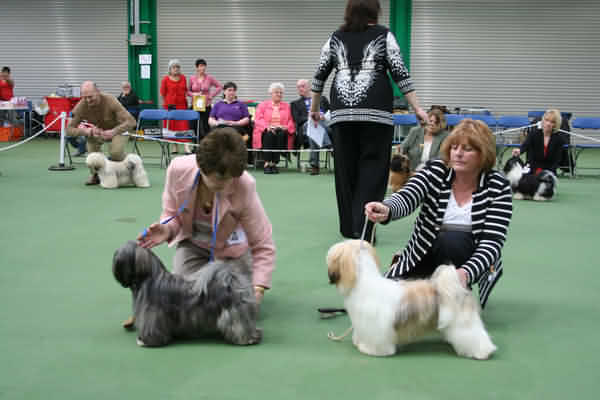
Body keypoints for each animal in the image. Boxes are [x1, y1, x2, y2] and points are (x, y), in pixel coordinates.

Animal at [112, 240, 262, 347]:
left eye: (120, 256)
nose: (114, 259)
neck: (149, 279)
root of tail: (231, 279)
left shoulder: (152, 315)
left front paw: (147, 341)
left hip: (232, 314)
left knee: (239, 326)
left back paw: (247, 339)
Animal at [326, 240, 496, 359]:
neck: (364, 282)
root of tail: (458, 288)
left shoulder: (376, 327)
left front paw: (372, 350)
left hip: (463, 323)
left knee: (475, 335)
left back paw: (482, 352)